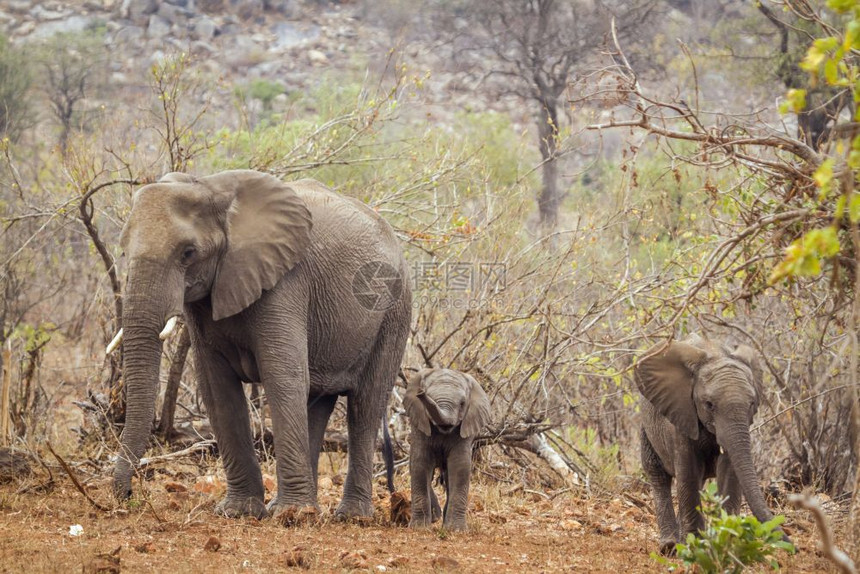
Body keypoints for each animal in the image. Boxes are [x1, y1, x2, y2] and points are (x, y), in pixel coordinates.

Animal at [111, 171, 410, 520]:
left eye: (188, 252)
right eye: (123, 250)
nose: (127, 495)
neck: (211, 188)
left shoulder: (285, 282)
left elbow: (283, 377)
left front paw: (289, 516)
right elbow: (216, 388)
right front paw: (239, 512)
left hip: (394, 311)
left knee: (366, 404)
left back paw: (346, 516)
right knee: (317, 402)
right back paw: (303, 508)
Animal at [404, 368, 490, 532]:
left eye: (462, 403)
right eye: (426, 397)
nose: (420, 393)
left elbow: (460, 466)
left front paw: (456, 530)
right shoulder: (420, 424)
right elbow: (420, 463)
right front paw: (419, 528)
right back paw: (435, 517)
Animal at [632, 336, 788, 556]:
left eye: (752, 404)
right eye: (709, 404)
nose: (791, 545)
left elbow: (728, 471)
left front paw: (726, 540)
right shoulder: (682, 414)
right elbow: (688, 472)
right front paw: (694, 548)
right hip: (647, 427)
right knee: (658, 474)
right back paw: (669, 546)